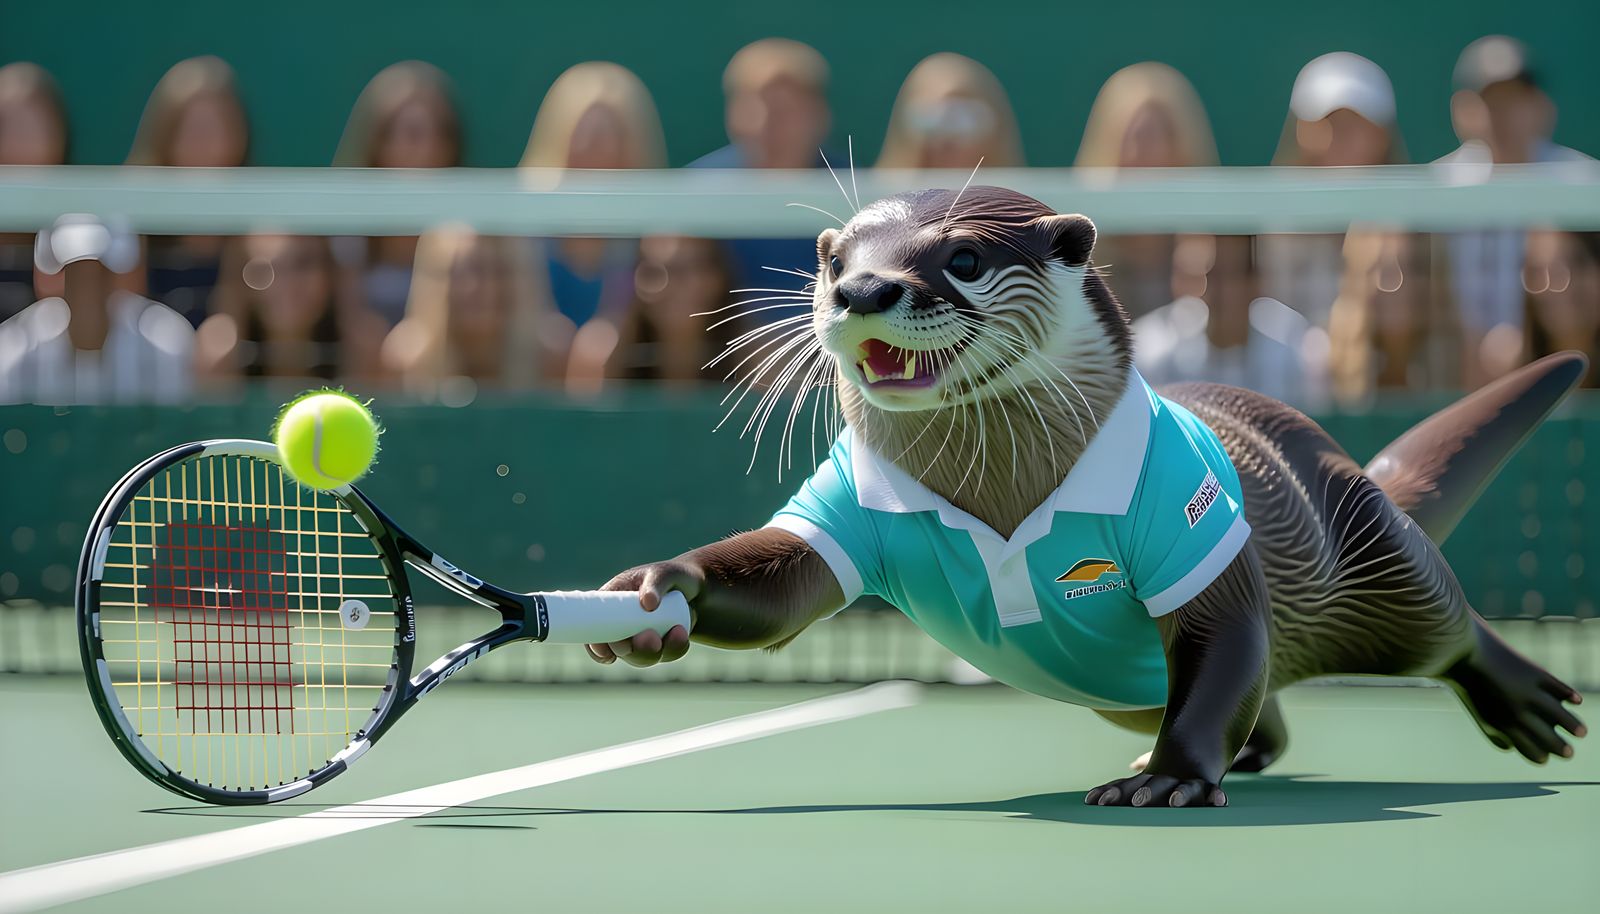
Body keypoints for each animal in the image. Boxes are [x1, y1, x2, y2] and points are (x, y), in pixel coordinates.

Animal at [594, 186, 1586, 808]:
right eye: (836, 262)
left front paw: (1172, 779)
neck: (1002, 493)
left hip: (1365, 555)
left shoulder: (1189, 509)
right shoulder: (843, 501)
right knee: (1255, 690)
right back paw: (1247, 744)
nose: (863, 289)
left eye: (962, 258)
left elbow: (1225, 625)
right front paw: (654, 591)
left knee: (1440, 626)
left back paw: (1520, 693)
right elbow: (783, 584)